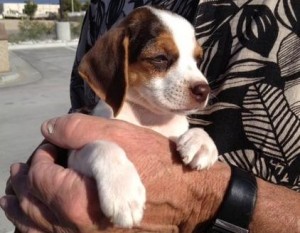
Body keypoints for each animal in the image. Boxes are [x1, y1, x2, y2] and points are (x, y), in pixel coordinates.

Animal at [68, 5, 218, 228]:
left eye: (197, 59)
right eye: (160, 58)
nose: (204, 90)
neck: (149, 117)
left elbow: (194, 130)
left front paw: (202, 142)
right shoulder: (72, 156)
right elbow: (103, 145)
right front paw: (123, 192)